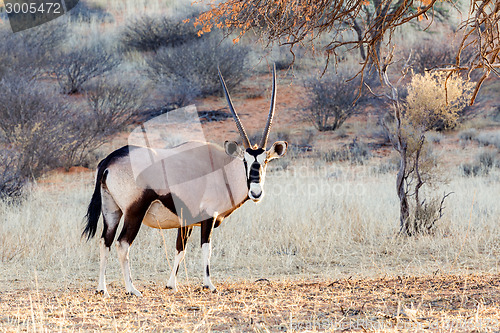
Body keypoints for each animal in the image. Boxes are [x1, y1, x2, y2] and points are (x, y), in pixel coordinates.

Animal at [80, 65, 288, 296]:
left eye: (266, 161)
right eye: (245, 160)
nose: (256, 193)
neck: (221, 168)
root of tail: (110, 159)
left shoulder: (186, 221)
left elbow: (181, 249)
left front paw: (171, 284)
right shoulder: (208, 217)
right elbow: (206, 248)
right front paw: (208, 284)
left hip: (112, 211)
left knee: (105, 242)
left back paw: (102, 289)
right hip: (134, 212)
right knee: (122, 244)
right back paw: (131, 289)